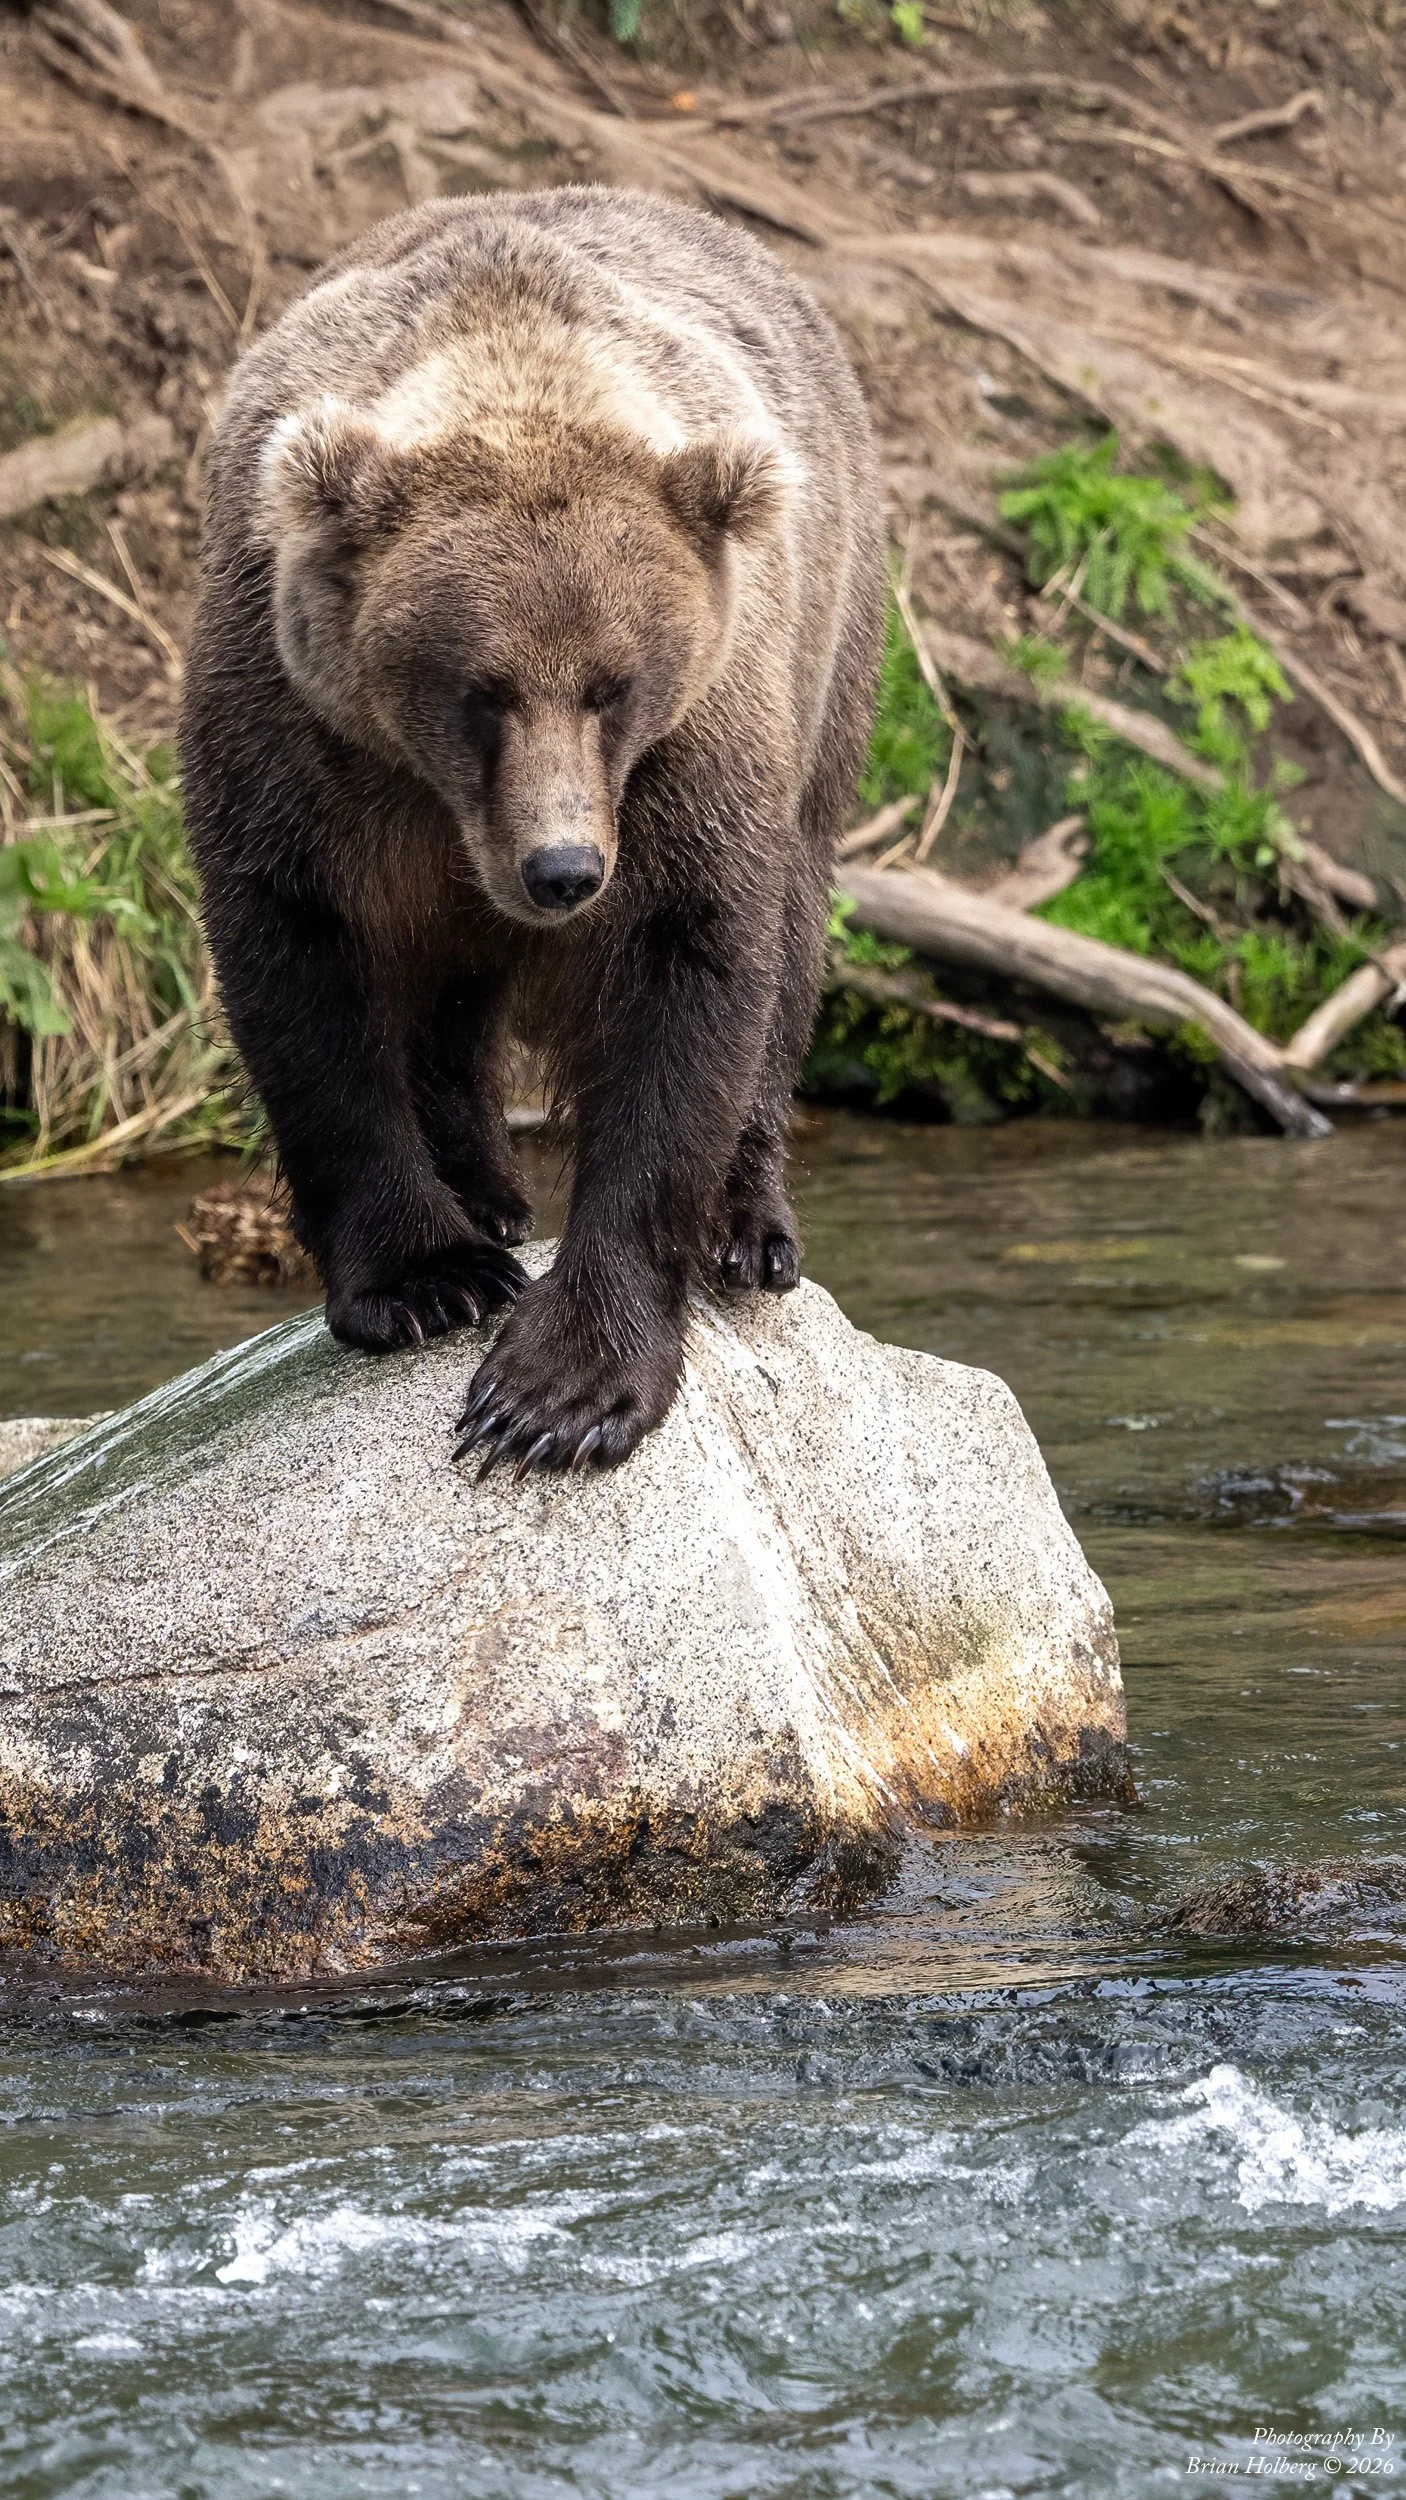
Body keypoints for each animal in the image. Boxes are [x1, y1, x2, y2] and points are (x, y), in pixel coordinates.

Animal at [181, 186, 884, 1474]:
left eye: (613, 685)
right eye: (482, 689)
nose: (561, 869)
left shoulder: (687, 761)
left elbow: (687, 983)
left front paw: (560, 1391)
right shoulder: (297, 735)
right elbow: (303, 969)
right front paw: (427, 1277)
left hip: (831, 659)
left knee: (794, 929)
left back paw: (748, 1227)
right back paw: (486, 1195)